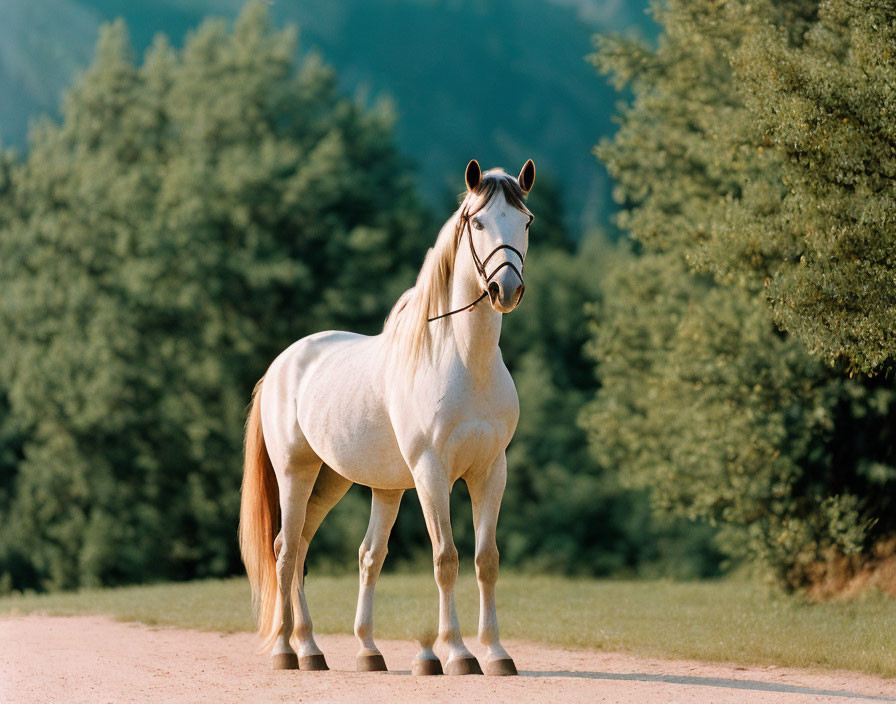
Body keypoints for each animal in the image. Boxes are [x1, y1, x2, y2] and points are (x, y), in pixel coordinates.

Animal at [238, 160, 536, 676]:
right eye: (478, 222)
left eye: (526, 221)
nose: (506, 288)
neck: (463, 360)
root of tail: (281, 365)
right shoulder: (431, 474)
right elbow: (446, 559)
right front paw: (458, 653)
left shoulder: (490, 472)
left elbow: (486, 560)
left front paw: (497, 653)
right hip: (297, 474)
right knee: (286, 551)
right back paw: (287, 650)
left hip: (342, 482)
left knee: (330, 552)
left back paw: (339, 649)